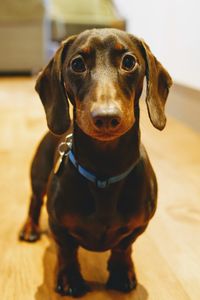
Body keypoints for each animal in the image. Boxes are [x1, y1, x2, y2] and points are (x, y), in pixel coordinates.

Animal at [19, 28, 172, 298]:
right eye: (77, 64)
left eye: (129, 62)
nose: (106, 117)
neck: (104, 170)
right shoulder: (58, 223)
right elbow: (67, 250)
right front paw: (69, 278)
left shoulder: (139, 224)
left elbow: (123, 247)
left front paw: (122, 272)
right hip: (38, 176)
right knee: (35, 200)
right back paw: (30, 228)